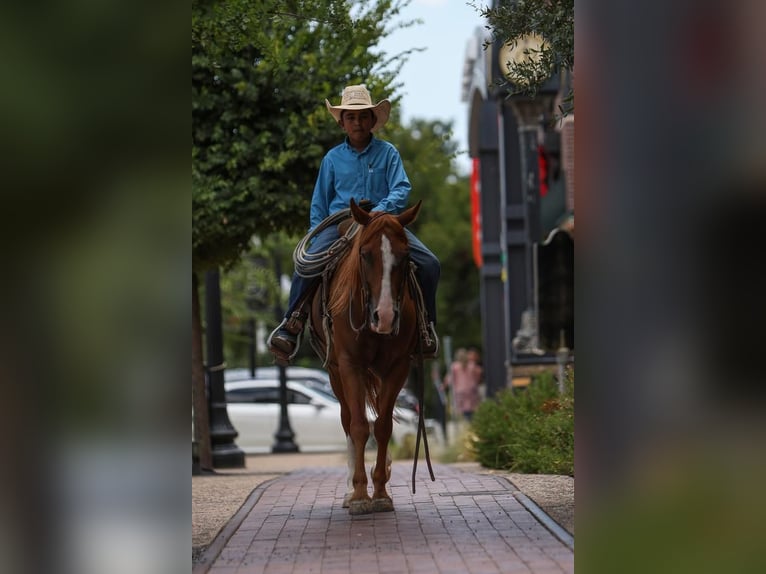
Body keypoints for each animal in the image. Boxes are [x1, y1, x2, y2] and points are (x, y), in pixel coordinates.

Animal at [310, 199, 432, 516]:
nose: (385, 316)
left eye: (405, 255)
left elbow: (383, 426)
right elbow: (358, 426)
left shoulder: (398, 367)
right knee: (347, 419)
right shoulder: (350, 365)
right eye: (365, 254)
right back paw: (349, 490)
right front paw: (359, 495)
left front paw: (380, 491)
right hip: (335, 373)